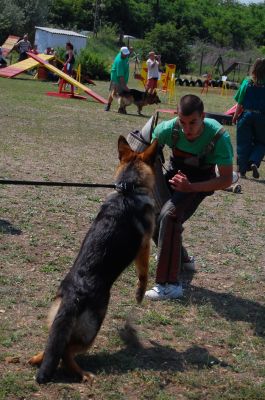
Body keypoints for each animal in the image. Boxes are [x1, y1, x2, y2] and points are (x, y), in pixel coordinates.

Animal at [28, 136, 157, 382]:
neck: (128, 190)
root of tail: (73, 296)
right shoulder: (144, 246)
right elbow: (143, 273)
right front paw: (140, 294)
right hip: (93, 329)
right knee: (65, 352)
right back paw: (81, 373)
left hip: (58, 319)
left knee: (53, 346)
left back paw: (37, 358)